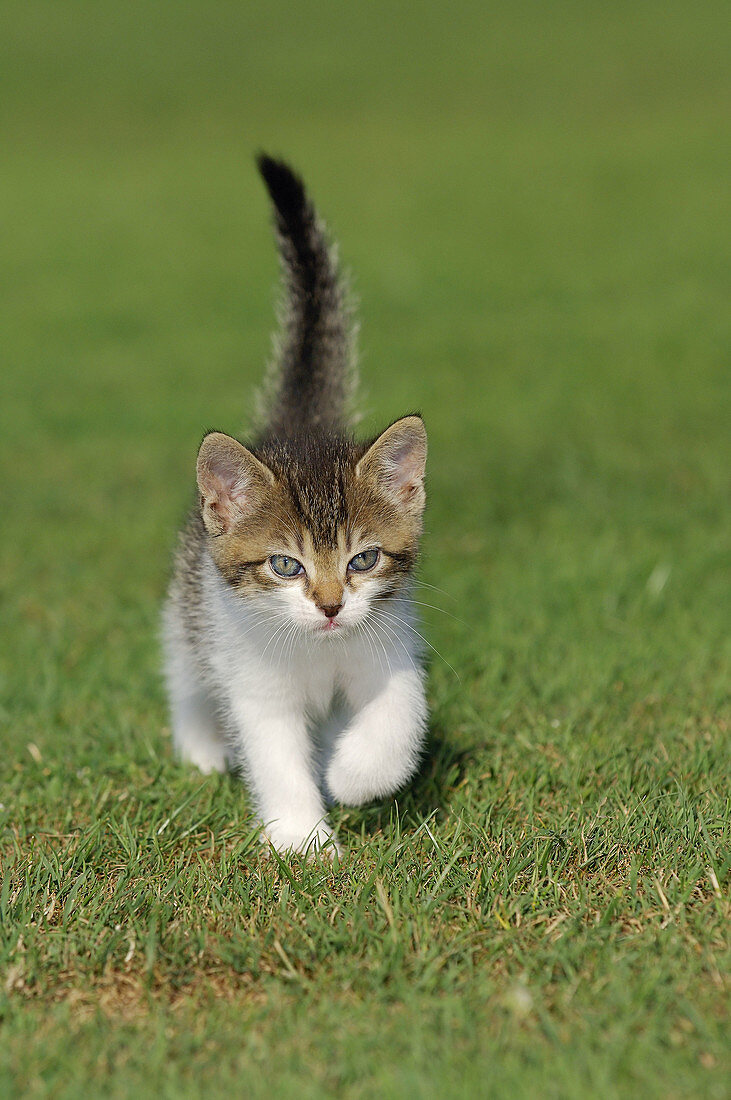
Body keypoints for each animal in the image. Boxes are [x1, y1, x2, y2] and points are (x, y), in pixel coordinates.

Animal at [163, 157, 428, 858]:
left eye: (363, 559)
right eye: (287, 565)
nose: (332, 606)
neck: (317, 651)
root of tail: (294, 427)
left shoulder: (389, 643)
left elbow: (401, 713)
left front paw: (353, 773)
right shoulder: (254, 682)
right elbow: (275, 757)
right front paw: (304, 841)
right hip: (188, 605)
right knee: (182, 669)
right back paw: (200, 745)